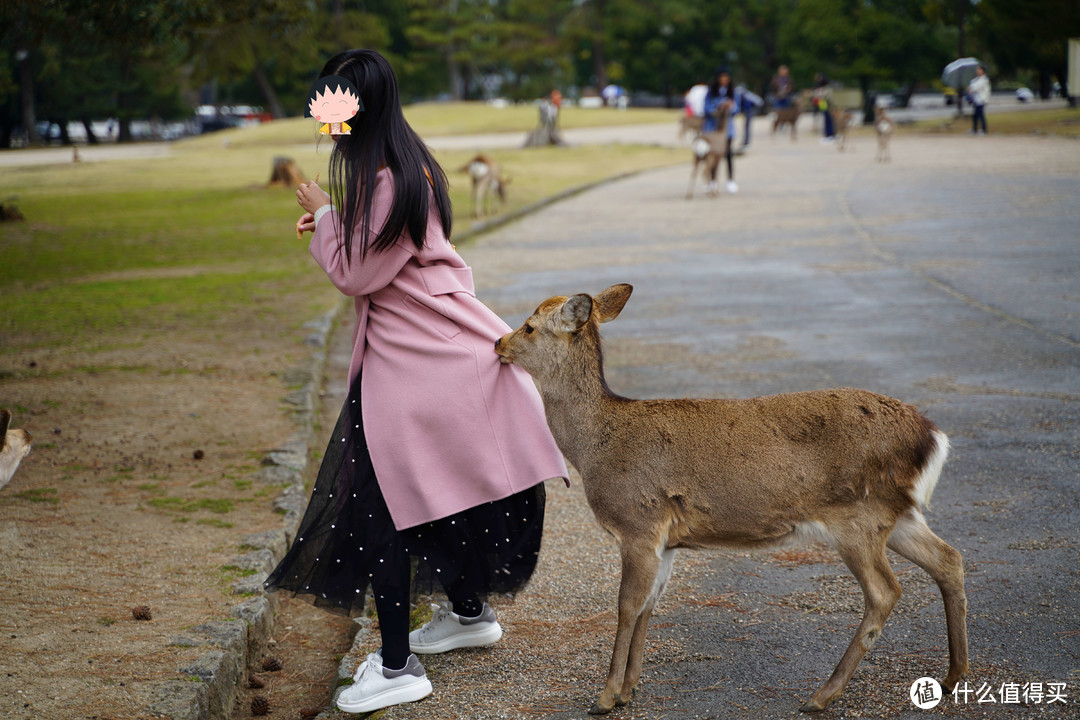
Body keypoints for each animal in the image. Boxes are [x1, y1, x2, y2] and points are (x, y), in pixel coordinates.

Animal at [494, 284, 972, 716]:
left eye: (530, 326)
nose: (498, 343)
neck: (596, 448)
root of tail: (930, 436)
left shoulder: (638, 521)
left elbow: (627, 605)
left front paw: (606, 697)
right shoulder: (666, 540)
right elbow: (649, 605)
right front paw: (629, 689)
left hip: (857, 516)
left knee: (885, 591)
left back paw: (822, 695)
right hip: (897, 513)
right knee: (949, 559)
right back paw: (953, 676)